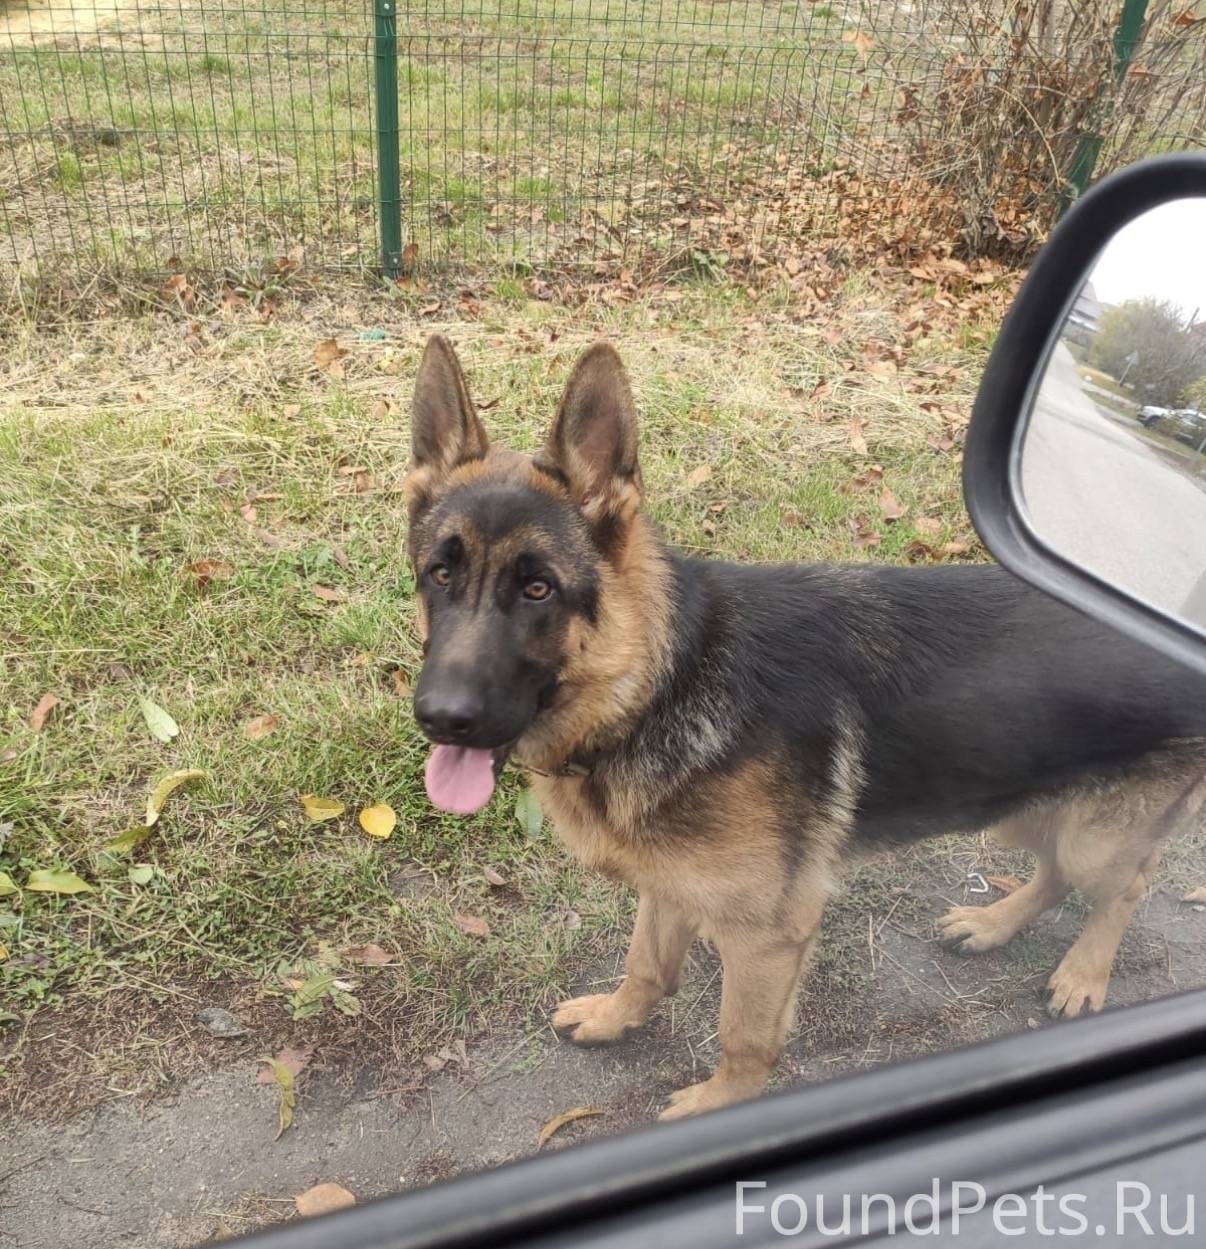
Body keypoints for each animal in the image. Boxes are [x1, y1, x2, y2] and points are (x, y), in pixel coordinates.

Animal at [405, 334, 1206, 1120]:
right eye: (439, 576)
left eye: (538, 590)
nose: (441, 718)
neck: (663, 680)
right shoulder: (672, 882)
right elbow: (646, 964)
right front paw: (614, 1018)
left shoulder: (768, 936)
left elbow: (744, 1038)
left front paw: (719, 1110)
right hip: (1026, 801)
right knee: (1056, 873)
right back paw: (993, 925)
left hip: (1093, 832)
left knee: (1125, 885)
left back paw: (1084, 972)